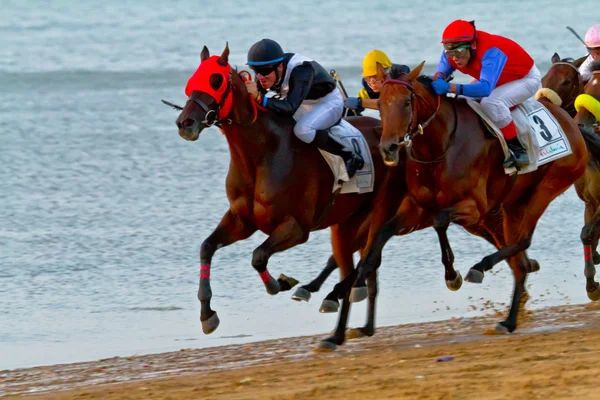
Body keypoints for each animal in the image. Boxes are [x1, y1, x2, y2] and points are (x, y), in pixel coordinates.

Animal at [346, 60, 600, 334]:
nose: (388, 148)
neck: (440, 146)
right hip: (514, 203)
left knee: (523, 242)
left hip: (549, 185)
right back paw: (509, 320)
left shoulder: (475, 206)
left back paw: (481, 268)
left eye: (406, 103)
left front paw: (453, 275)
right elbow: (385, 230)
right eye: (380, 103)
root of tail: (571, 122)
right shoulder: (416, 206)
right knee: (519, 260)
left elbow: (439, 221)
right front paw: (357, 283)